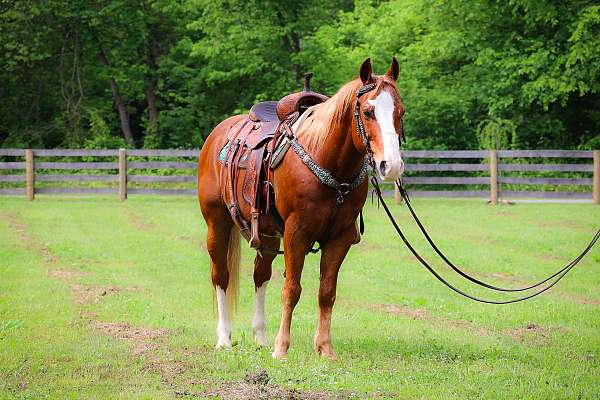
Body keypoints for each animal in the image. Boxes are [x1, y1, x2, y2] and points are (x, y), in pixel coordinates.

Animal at [199, 57, 406, 360]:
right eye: (368, 112)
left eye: (400, 112)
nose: (390, 165)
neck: (329, 162)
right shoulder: (296, 233)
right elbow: (292, 289)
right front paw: (281, 348)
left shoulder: (340, 237)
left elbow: (326, 292)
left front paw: (325, 349)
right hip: (217, 223)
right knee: (221, 276)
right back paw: (224, 338)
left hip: (268, 236)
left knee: (261, 275)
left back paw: (260, 337)